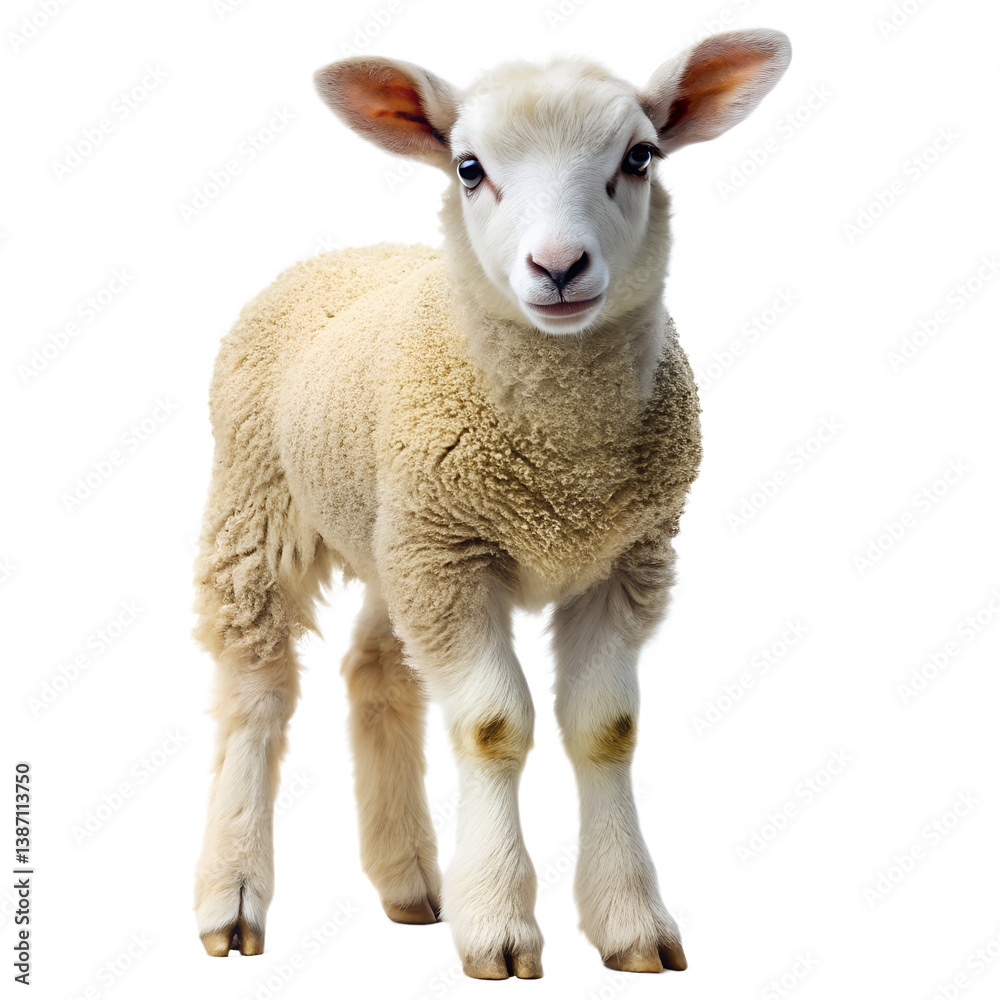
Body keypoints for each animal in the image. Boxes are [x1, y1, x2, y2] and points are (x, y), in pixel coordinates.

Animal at [193, 29, 791, 979]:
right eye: (469, 169)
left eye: (640, 156)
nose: (558, 267)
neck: (561, 464)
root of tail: (333, 255)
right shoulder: (454, 561)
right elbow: (491, 727)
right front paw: (500, 928)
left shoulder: (623, 559)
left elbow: (607, 728)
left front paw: (632, 924)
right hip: (259, 508)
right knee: (256, 696)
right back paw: (234, 898)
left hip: (392, 537)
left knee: (375, 672)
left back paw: (410, 883)